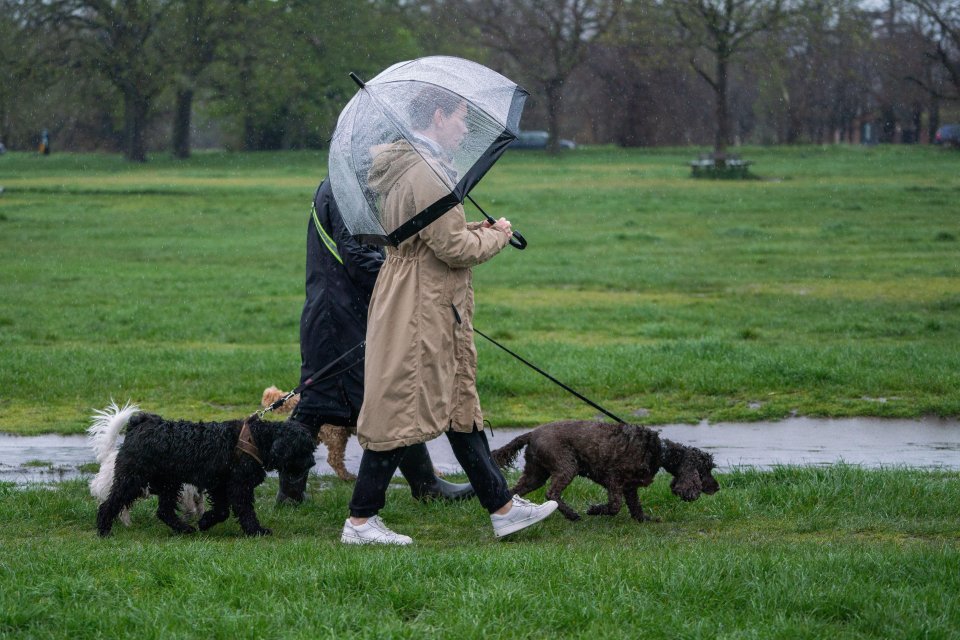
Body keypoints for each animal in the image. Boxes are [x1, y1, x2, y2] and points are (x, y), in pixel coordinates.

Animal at [91, 402, 316, 536]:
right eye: (304, 449)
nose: (312, 463)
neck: (259, 439)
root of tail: (138, 424)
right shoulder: (238, 486)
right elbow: (244, 511)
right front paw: (256, 530)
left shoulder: (220, 485)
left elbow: (222, 511)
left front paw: (205, 522)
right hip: (133, 477)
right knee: (111, 502)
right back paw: (104, 529)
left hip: (168, 482)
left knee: (164, 511)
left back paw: (184, 529)